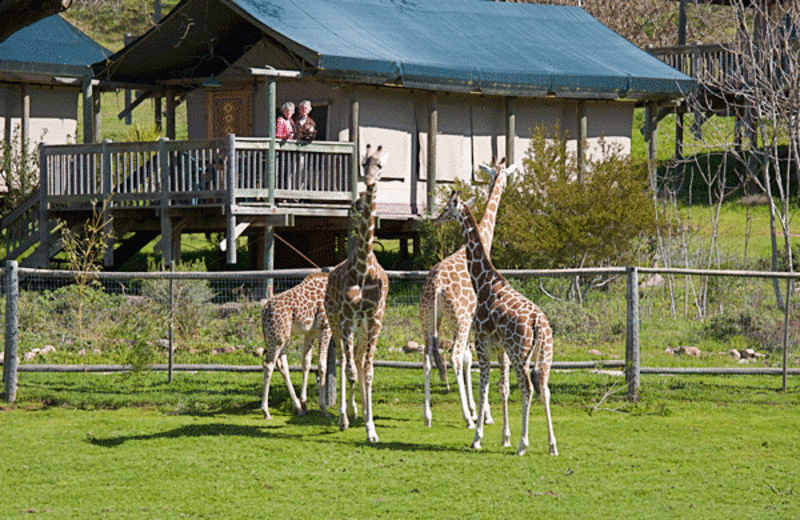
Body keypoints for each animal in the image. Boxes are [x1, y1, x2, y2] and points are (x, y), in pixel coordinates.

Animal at [258, 270, 330, 420]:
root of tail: (264, 310)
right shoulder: (326, 327)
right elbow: (322, 365)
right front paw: (324, 409)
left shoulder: (311, 331)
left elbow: (306, 363)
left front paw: (304, 403)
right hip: (278, 337)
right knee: (268, 365)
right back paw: (266, 411)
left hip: (280, 336)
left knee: (282, 365)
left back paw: (298, 408)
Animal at [418, 160, 512, 428]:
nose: (437, 219)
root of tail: (436, 286)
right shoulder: (471, 319)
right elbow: (470, 359)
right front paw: (482, 413)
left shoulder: (471, 321)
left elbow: (470, 359)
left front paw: (478, 409)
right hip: (457, 319)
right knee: (455, 356)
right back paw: (468, 418)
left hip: (427, 318)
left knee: (427, 357)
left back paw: (428, 416)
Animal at [438, 190, 556, 456]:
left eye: (447, 208)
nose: (436, 218)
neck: (484, 283)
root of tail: (538, 323)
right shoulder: (499, 347)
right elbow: (501, 387)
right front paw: (504, 436)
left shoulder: (482, 342)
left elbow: (484, 387)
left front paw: (477, 437)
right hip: (543, 353)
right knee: (544, 388)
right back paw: (552, 445)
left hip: (519, 352)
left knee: (528, 388)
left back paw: (524, 444)